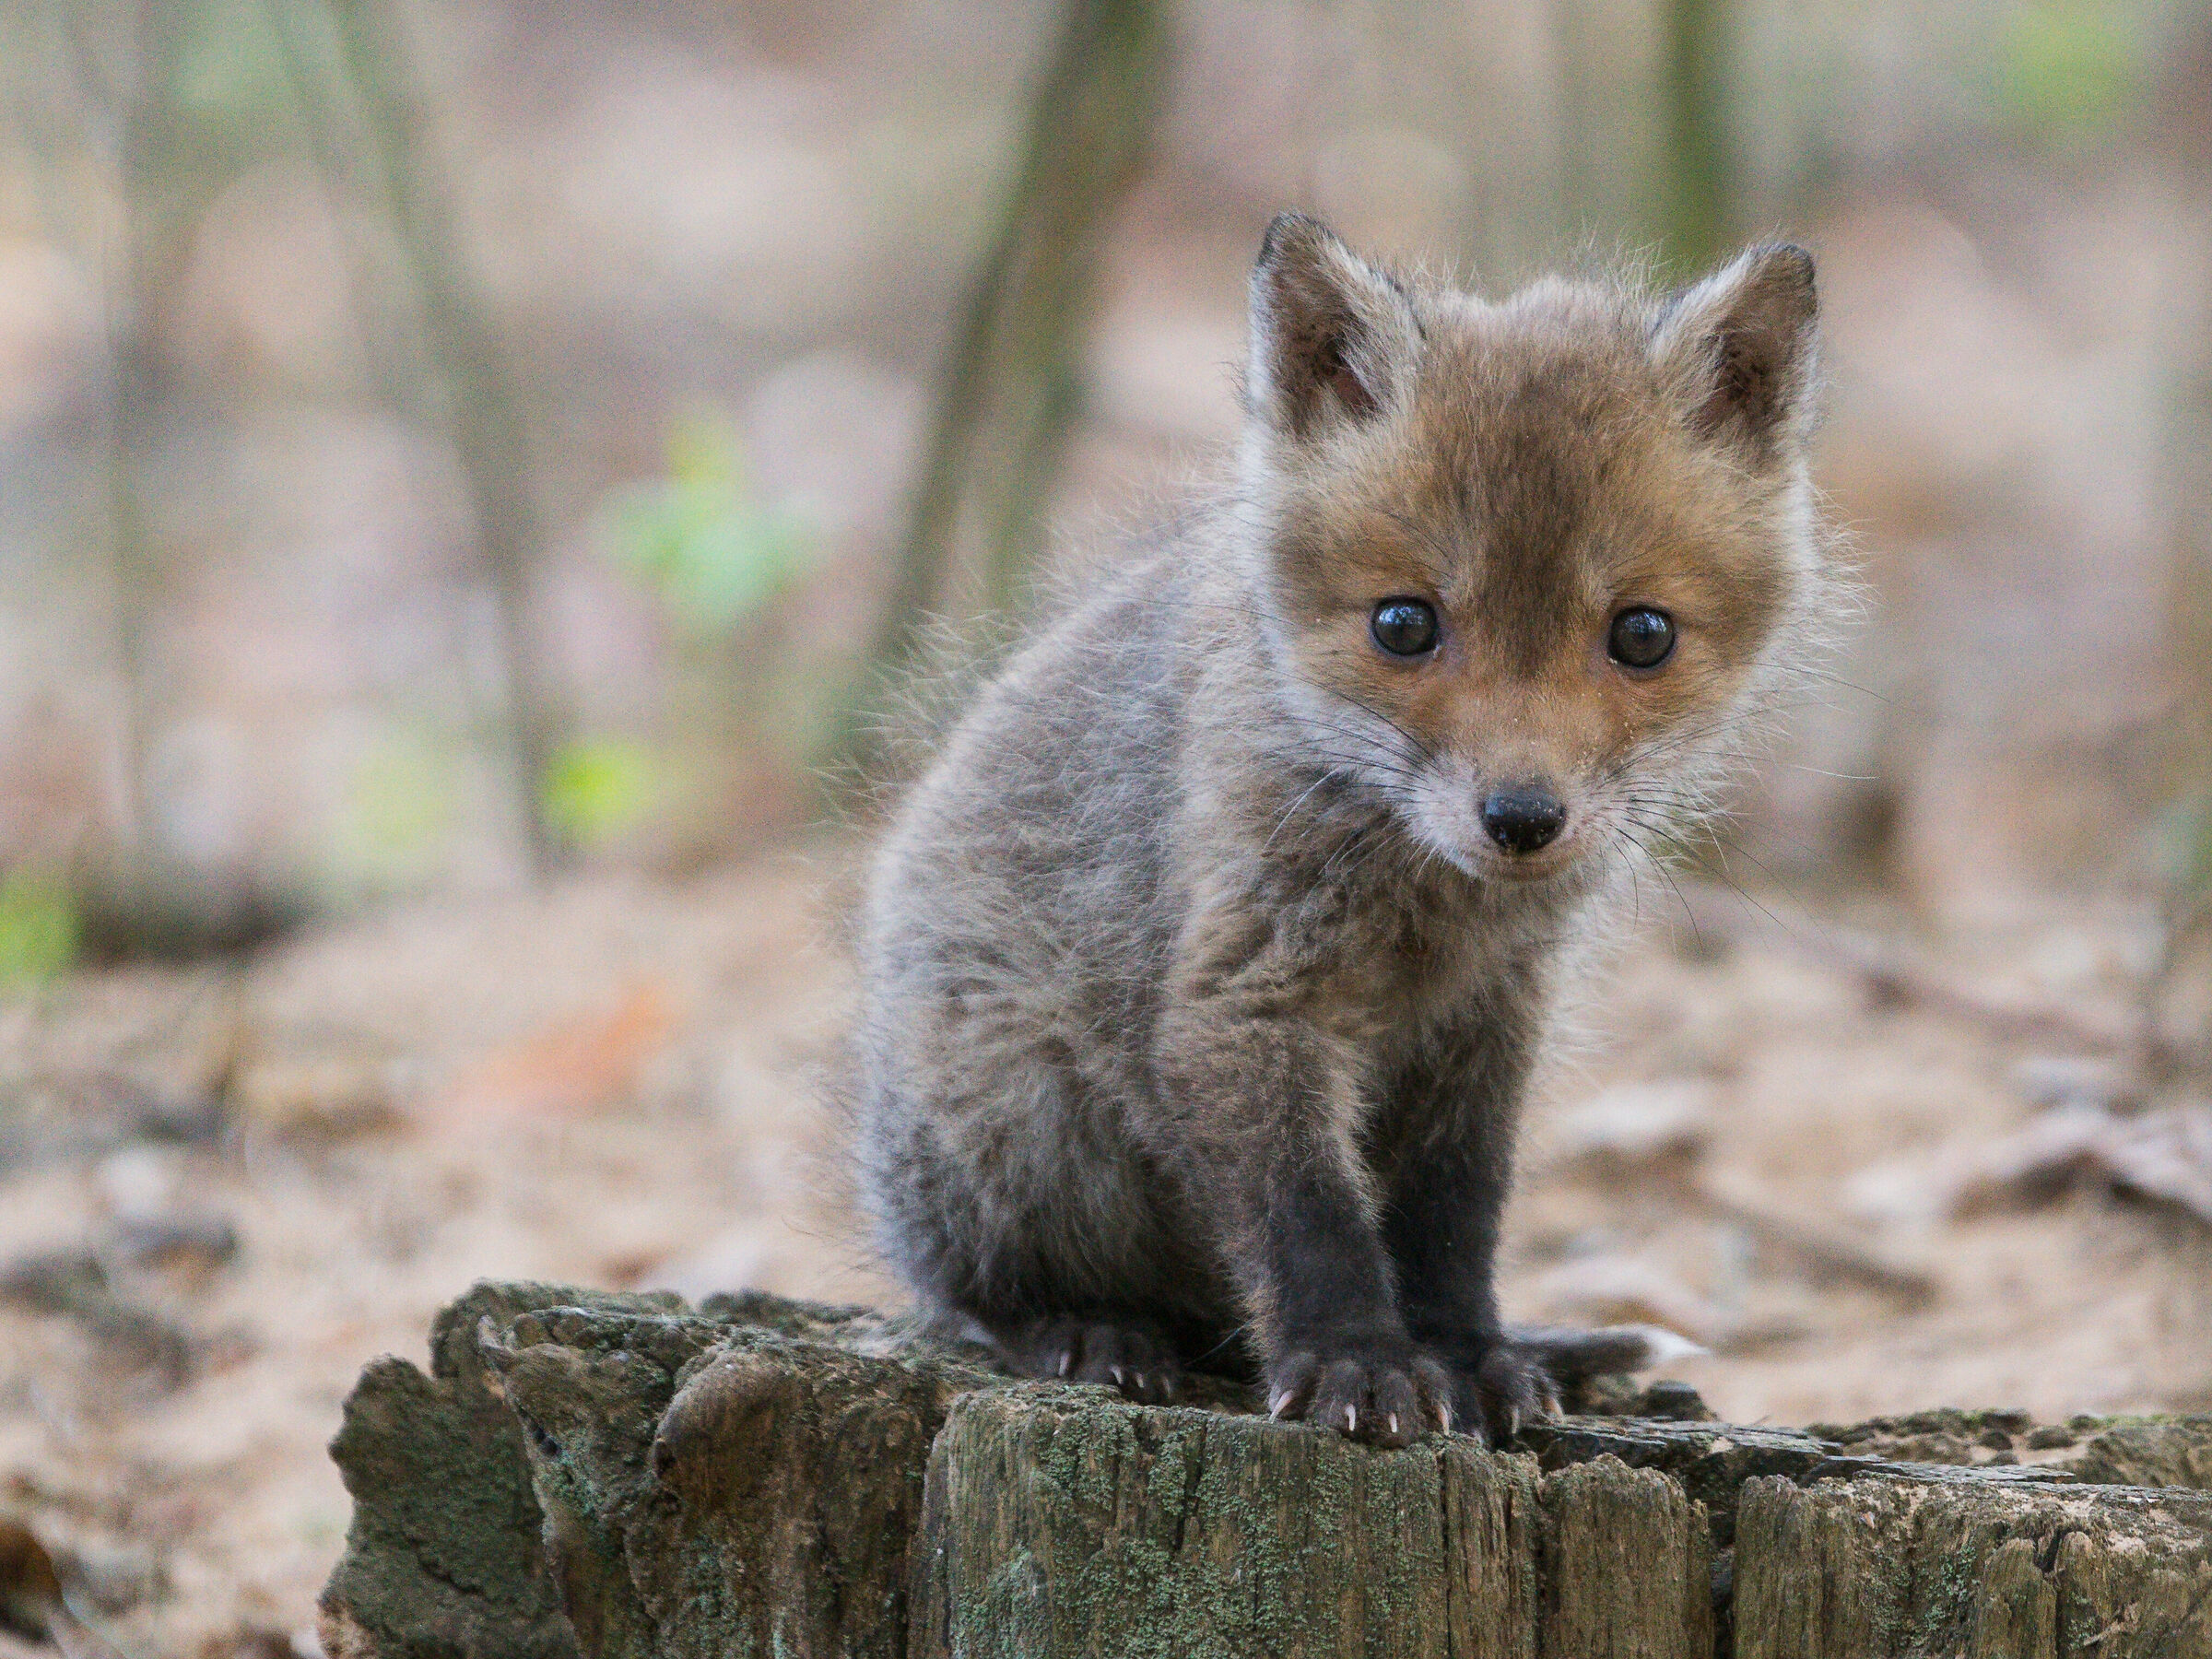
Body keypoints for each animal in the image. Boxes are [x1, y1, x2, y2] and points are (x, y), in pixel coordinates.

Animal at [854, 213, 1829, 1446]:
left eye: (1642, 635)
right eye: (1403, 624)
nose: (1522, 818)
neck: (1432, 911)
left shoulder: (1489, 1023)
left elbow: (1452, 1221)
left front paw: (1469, 1357)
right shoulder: (1244, 990)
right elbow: (1306, 1213)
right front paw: (1356, 1362)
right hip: (1014, 1113)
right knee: (971, 1295)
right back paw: (1087, 1332)